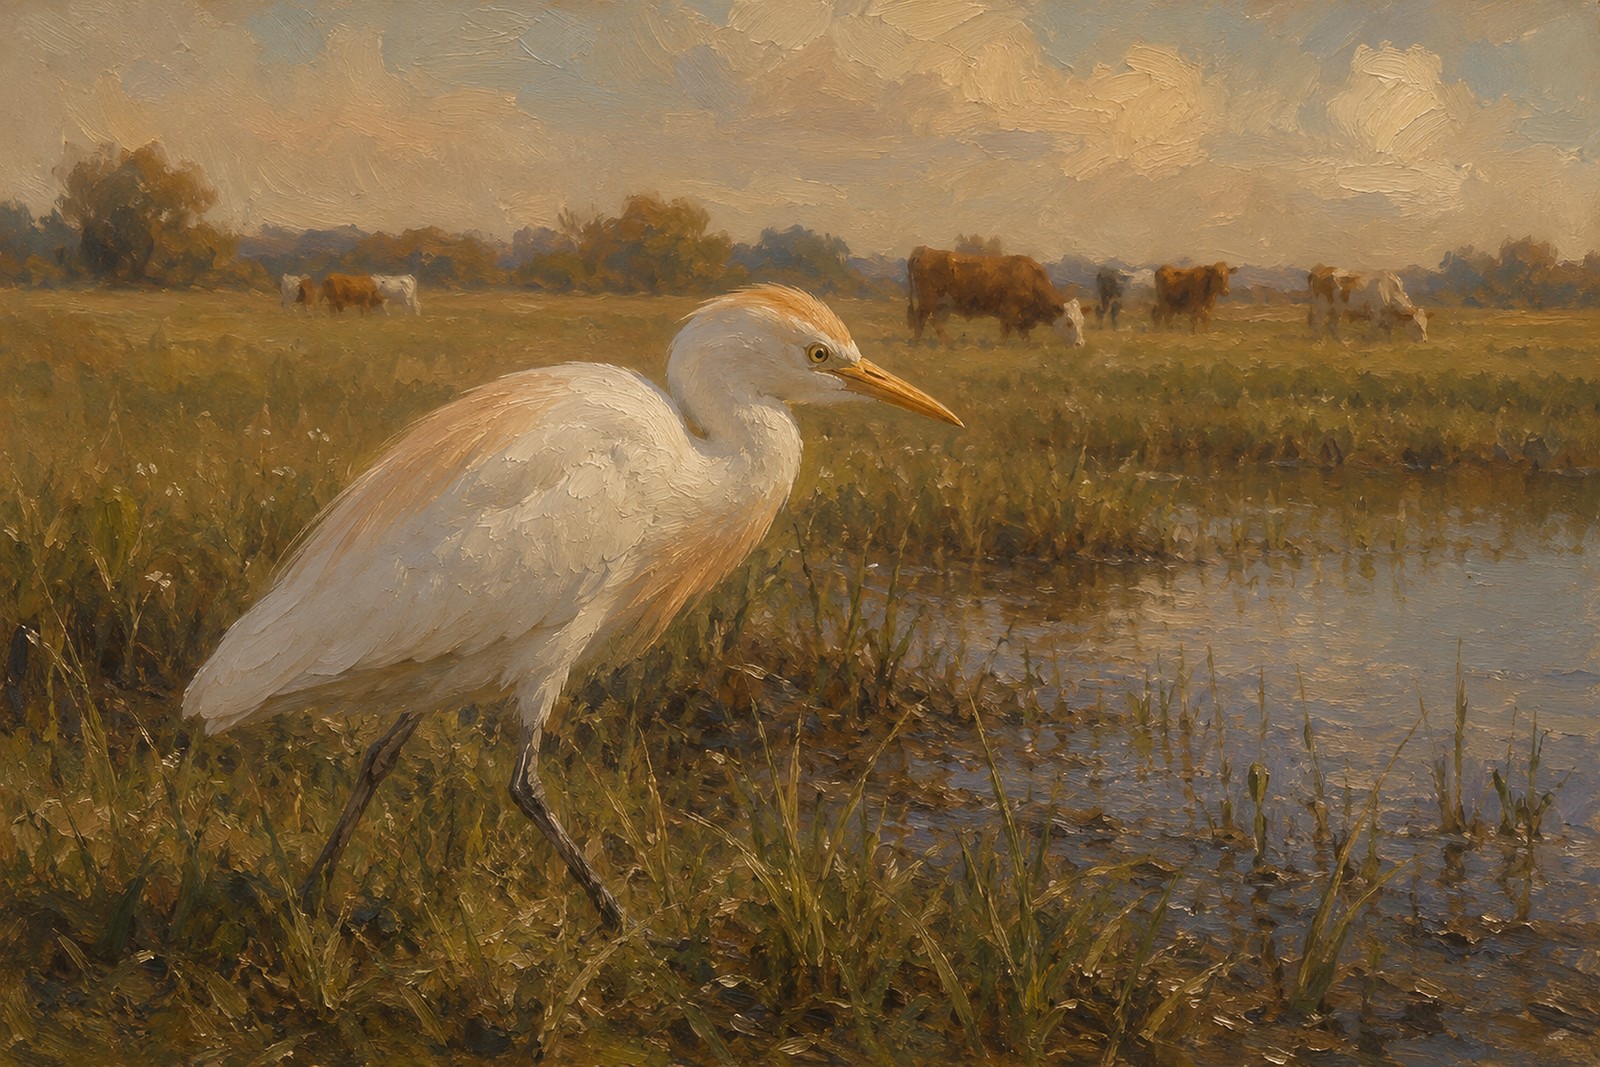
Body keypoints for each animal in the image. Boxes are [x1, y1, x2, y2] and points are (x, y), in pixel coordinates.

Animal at [907, 245, 1067, 343]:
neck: (1032, 278)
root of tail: (925, 250)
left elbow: (1017, 327)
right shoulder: (1010, 308)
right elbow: (1008, 327)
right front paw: (999, 345)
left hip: (937, 304)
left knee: (932, 320)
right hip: (928, 301)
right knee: (923, 319)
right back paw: (918, 342)